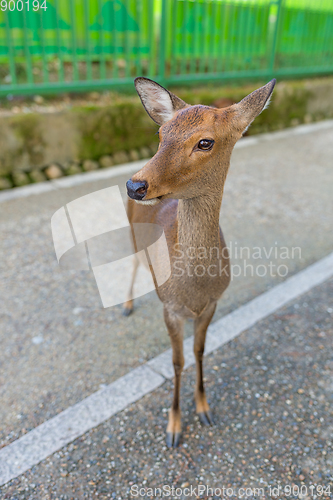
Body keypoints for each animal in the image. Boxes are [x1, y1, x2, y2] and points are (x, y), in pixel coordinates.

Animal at [123, 76, 274, 448]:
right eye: (161, 133)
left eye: (205, 142)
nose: (135, 185)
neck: (193, 288)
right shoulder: (171, 309)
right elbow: (176, 362)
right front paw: (174, 427)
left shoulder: (212, 303)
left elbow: (200, 351)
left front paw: (205, 409)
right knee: (131, 262)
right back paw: (128, 305)